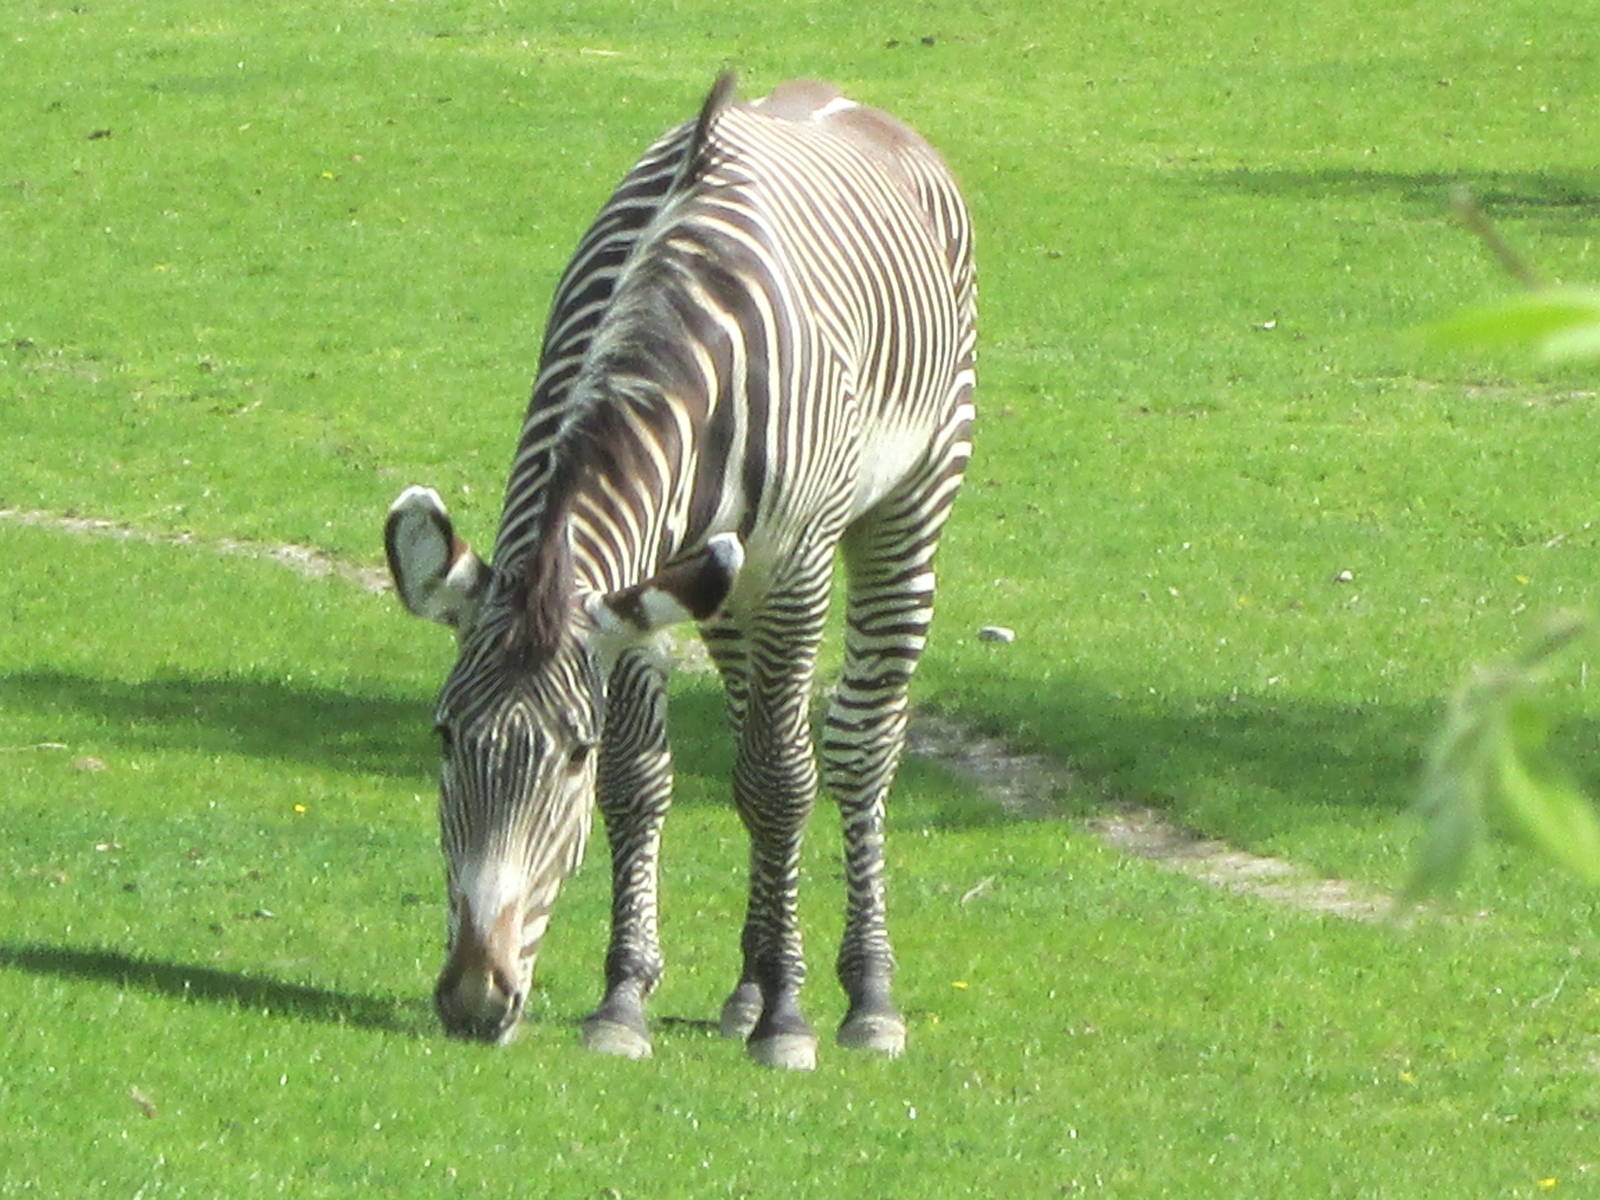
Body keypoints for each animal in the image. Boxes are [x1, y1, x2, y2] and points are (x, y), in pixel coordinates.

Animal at [384, 73, 975, 1070]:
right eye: (442, 736)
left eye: (570, 757)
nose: (473, 1000)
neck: (654, 323)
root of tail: (842, 97)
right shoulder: (638, 593)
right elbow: (645, 781)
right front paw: (624, 999)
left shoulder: (794, 565)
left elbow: (780, 781)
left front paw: (788, 1022)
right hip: (726, 593)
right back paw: (748, 986)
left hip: (911, 501)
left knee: (858, 749)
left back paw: (864, 995)